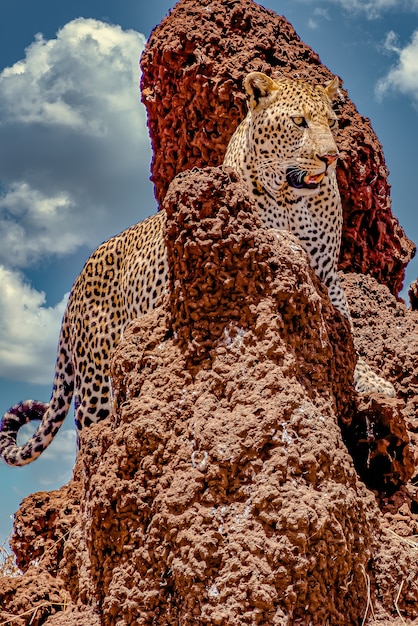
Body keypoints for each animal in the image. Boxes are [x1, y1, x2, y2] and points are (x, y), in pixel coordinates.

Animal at [0, 72, 394, 464]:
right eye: (299, 121)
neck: (294, 200)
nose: (330, 157)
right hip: (95, 381)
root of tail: (77, 282)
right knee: (88, 438)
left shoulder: (325, 273)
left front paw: (371, 379)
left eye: (332, 122)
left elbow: (346, 328)